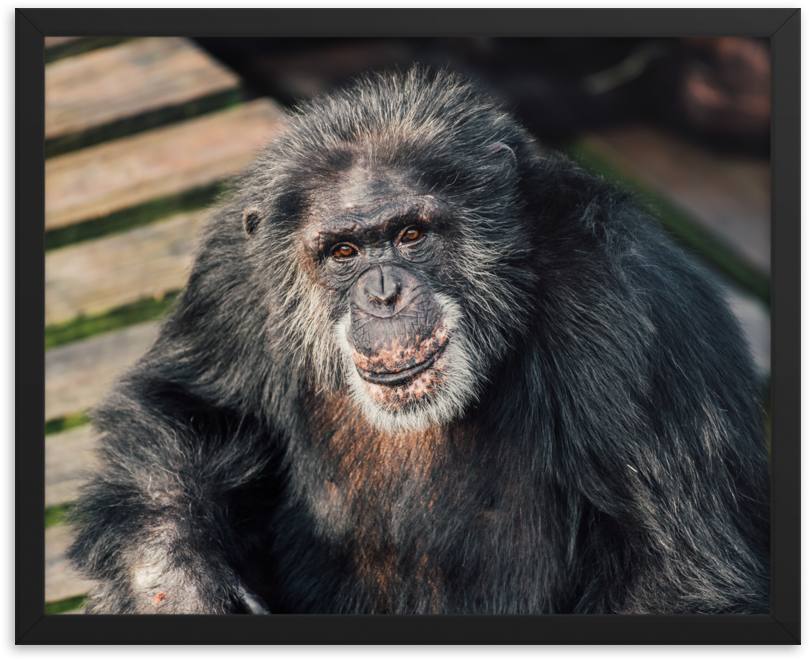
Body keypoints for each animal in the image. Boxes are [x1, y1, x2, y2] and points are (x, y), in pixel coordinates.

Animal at [68, 67, 770, 615]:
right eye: (343, 252)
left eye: (410, 234)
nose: (382, 293)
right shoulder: (229, 271)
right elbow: (184, 407)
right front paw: (176, 589)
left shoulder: (630, 305)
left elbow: (672, 571)